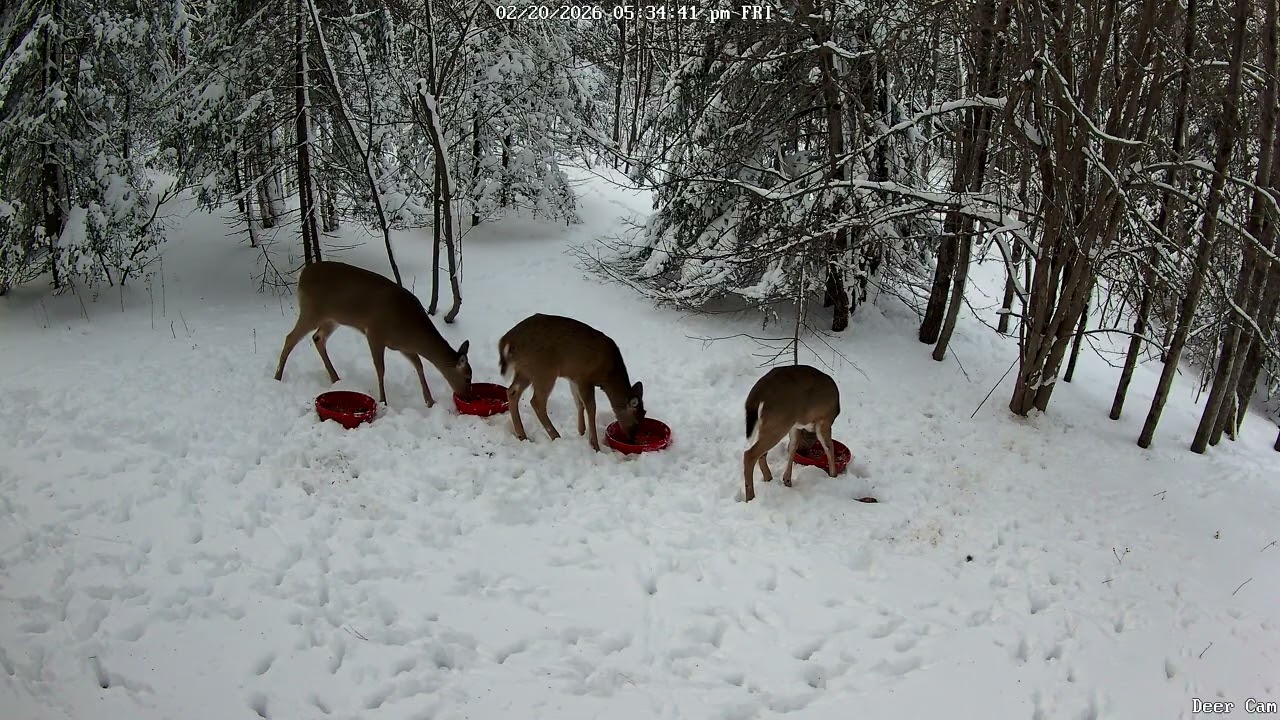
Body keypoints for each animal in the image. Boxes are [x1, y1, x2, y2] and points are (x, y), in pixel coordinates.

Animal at [273, 260, 472, 406]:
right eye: (467, 377)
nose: (467, 397)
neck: (409, 329)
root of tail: (302, 274)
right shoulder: (375, 333)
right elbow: (380, 368)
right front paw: (383, 400)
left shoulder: (402, 346)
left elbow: (419, 365)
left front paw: (430, 401)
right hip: (311, 310)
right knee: (290, 337)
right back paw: (277, 377)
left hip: (332, 318)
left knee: (317, 338)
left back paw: (335, 378)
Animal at [497, 313, 645, 451]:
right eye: (636, 422)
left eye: (643, 416)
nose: (632, 439)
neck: (608, 375)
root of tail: (507, 339)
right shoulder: (585, 378)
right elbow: (591, 408)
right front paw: (594, 445)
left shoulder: (573, 377)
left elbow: (579, 403)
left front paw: (581, 431)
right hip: (544, 370)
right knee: (537, 401)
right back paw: (555, 436)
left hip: (525, 370)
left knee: (512, 391)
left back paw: (522, 435)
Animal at [742, 364, 841, 502]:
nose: (805, 452)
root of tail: (759, 390)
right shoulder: (824, 421)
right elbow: (829, 447)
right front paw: (833, 476)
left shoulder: (796, 426)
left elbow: (793, 446)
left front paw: (787, 480)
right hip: (779, 421)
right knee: (749, 454)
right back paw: (750, 497)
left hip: (772, 423)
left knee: (761, 454)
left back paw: (768, 478)